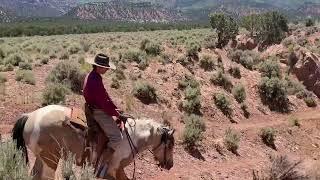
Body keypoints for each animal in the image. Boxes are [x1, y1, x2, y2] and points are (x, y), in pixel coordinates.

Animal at [11, 105, 175, 179]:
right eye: (170, 145)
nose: (170, 165)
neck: (133, 136)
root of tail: (30, 116)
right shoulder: (114, 169)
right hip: (51, 159)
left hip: (42, 158)